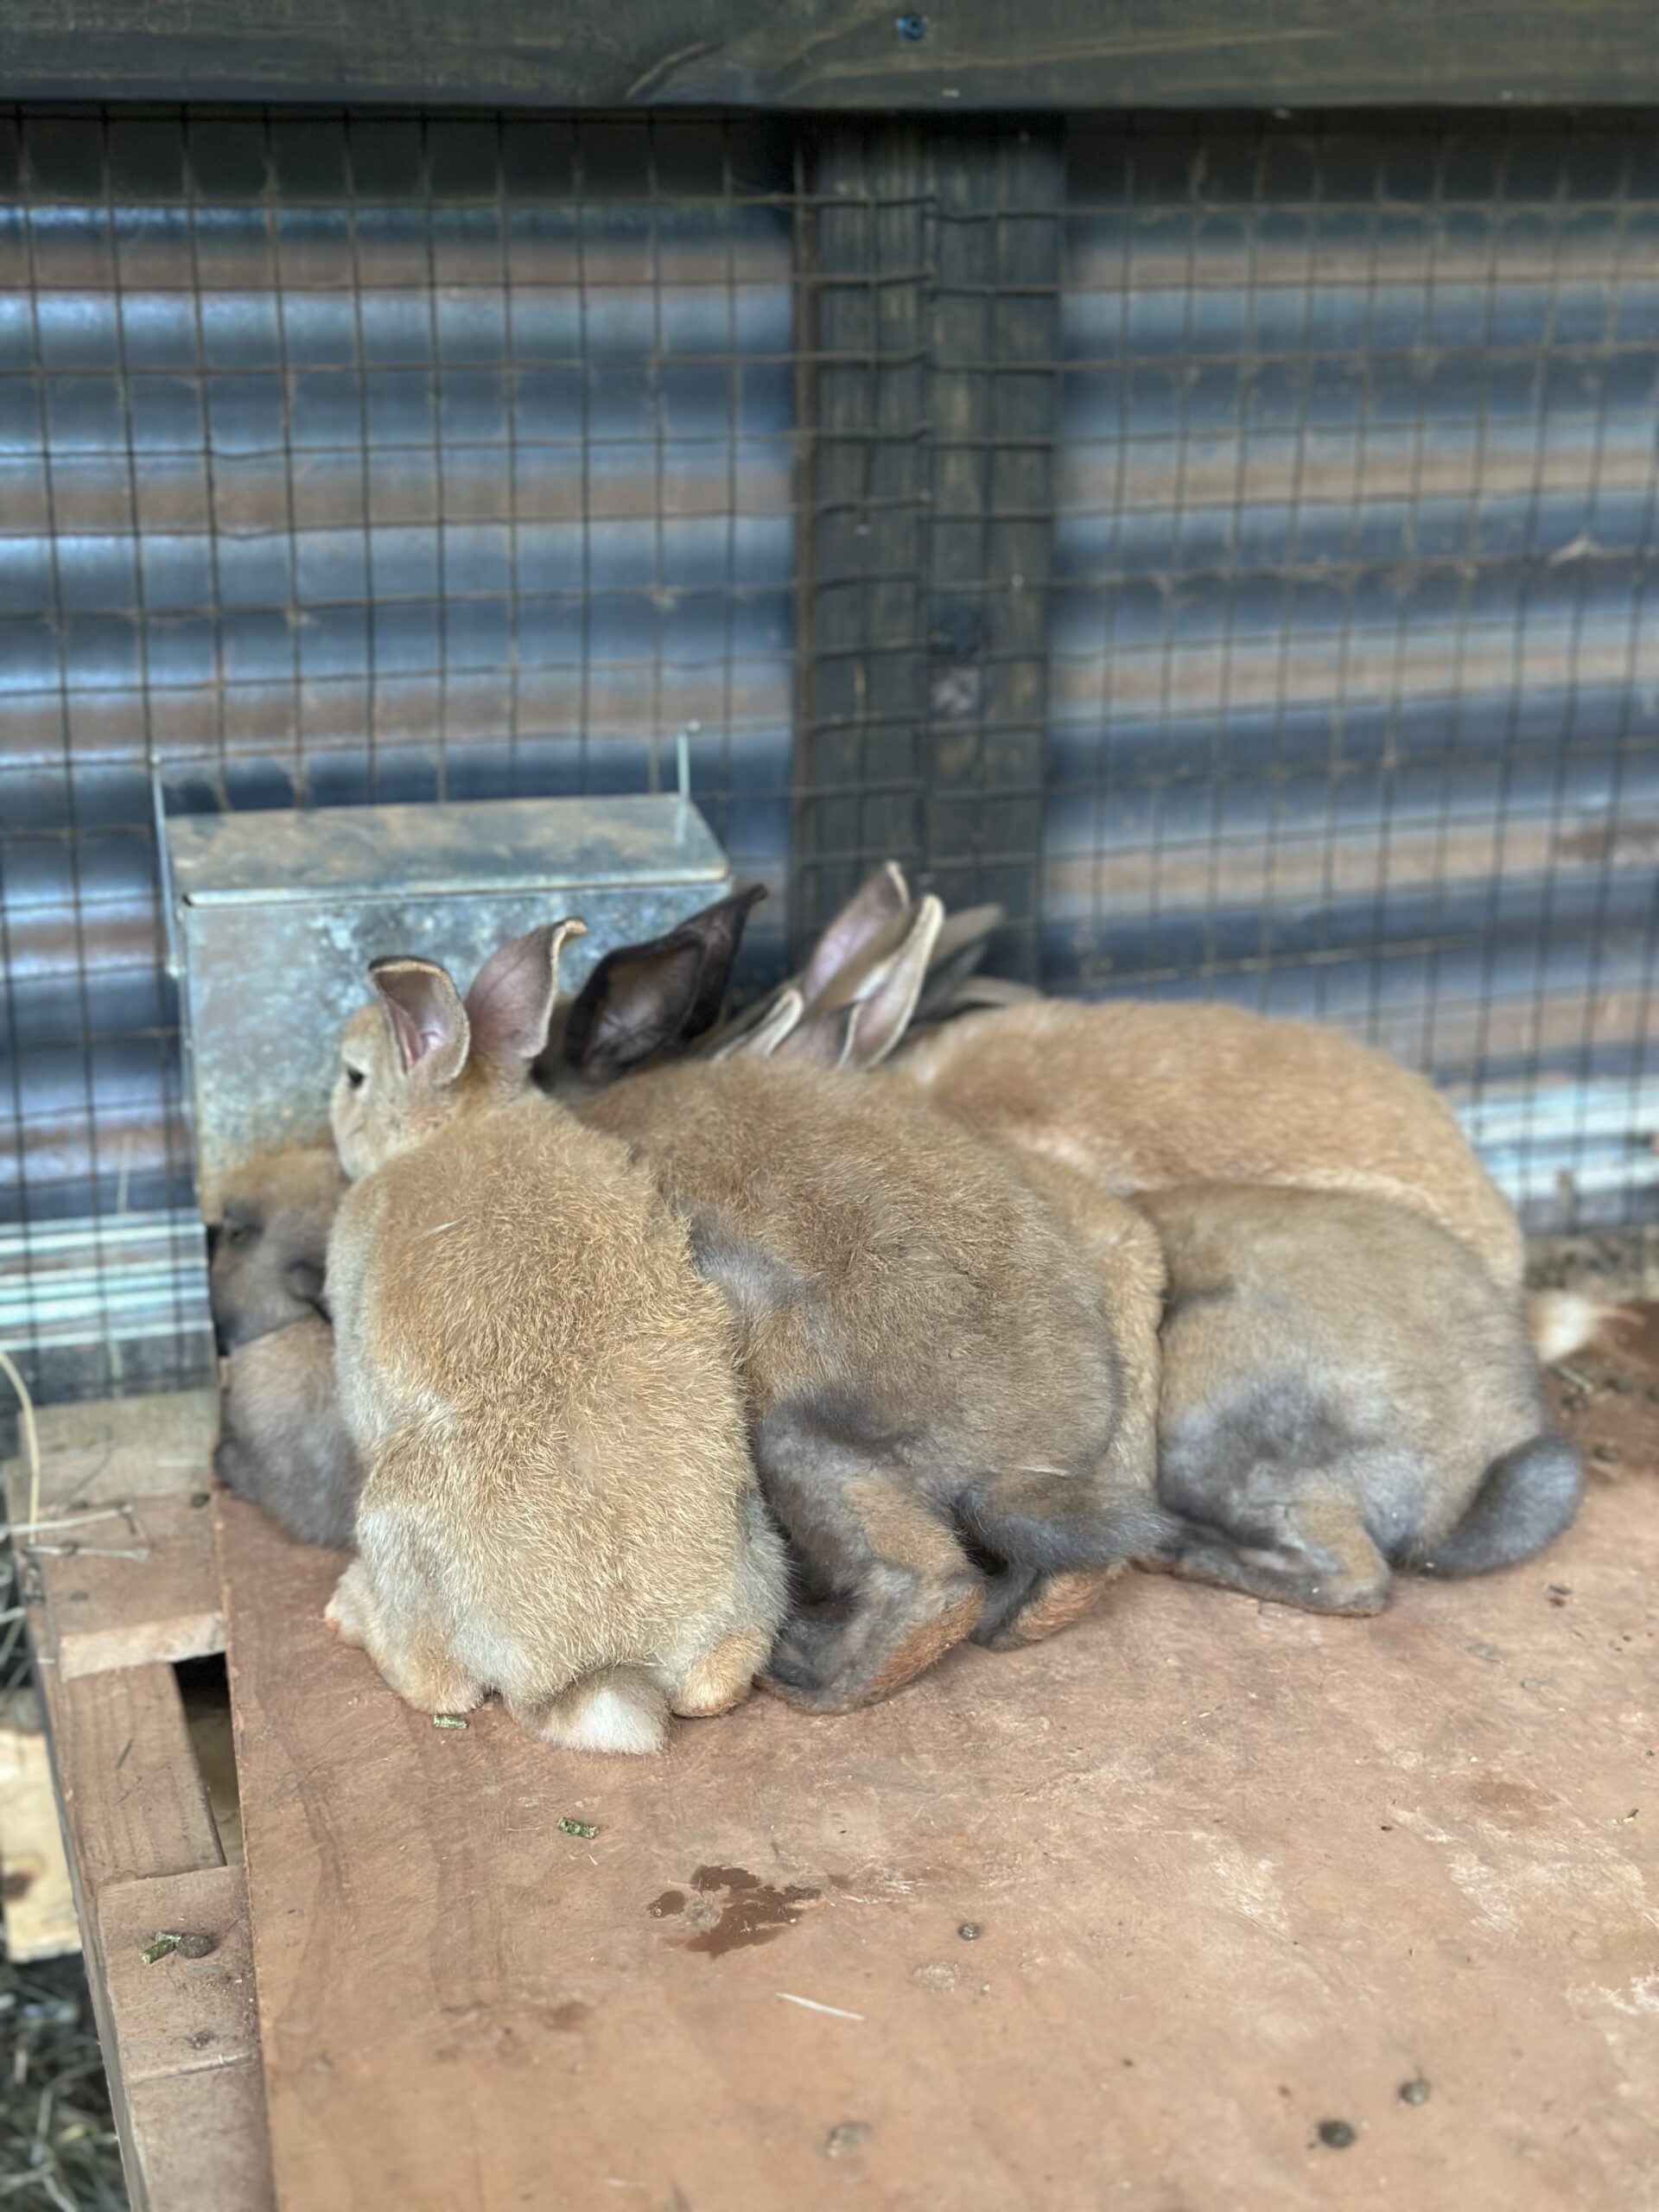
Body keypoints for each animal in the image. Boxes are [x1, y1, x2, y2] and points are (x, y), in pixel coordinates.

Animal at [324, 920, 787, 1754]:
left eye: (354, 1077)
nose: (329, 1113)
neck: (461, 1120)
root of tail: (605, 1670)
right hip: (756, 1543)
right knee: (717, 1685)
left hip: (392, 1523)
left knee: (438, 1684)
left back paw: (350, 1613)